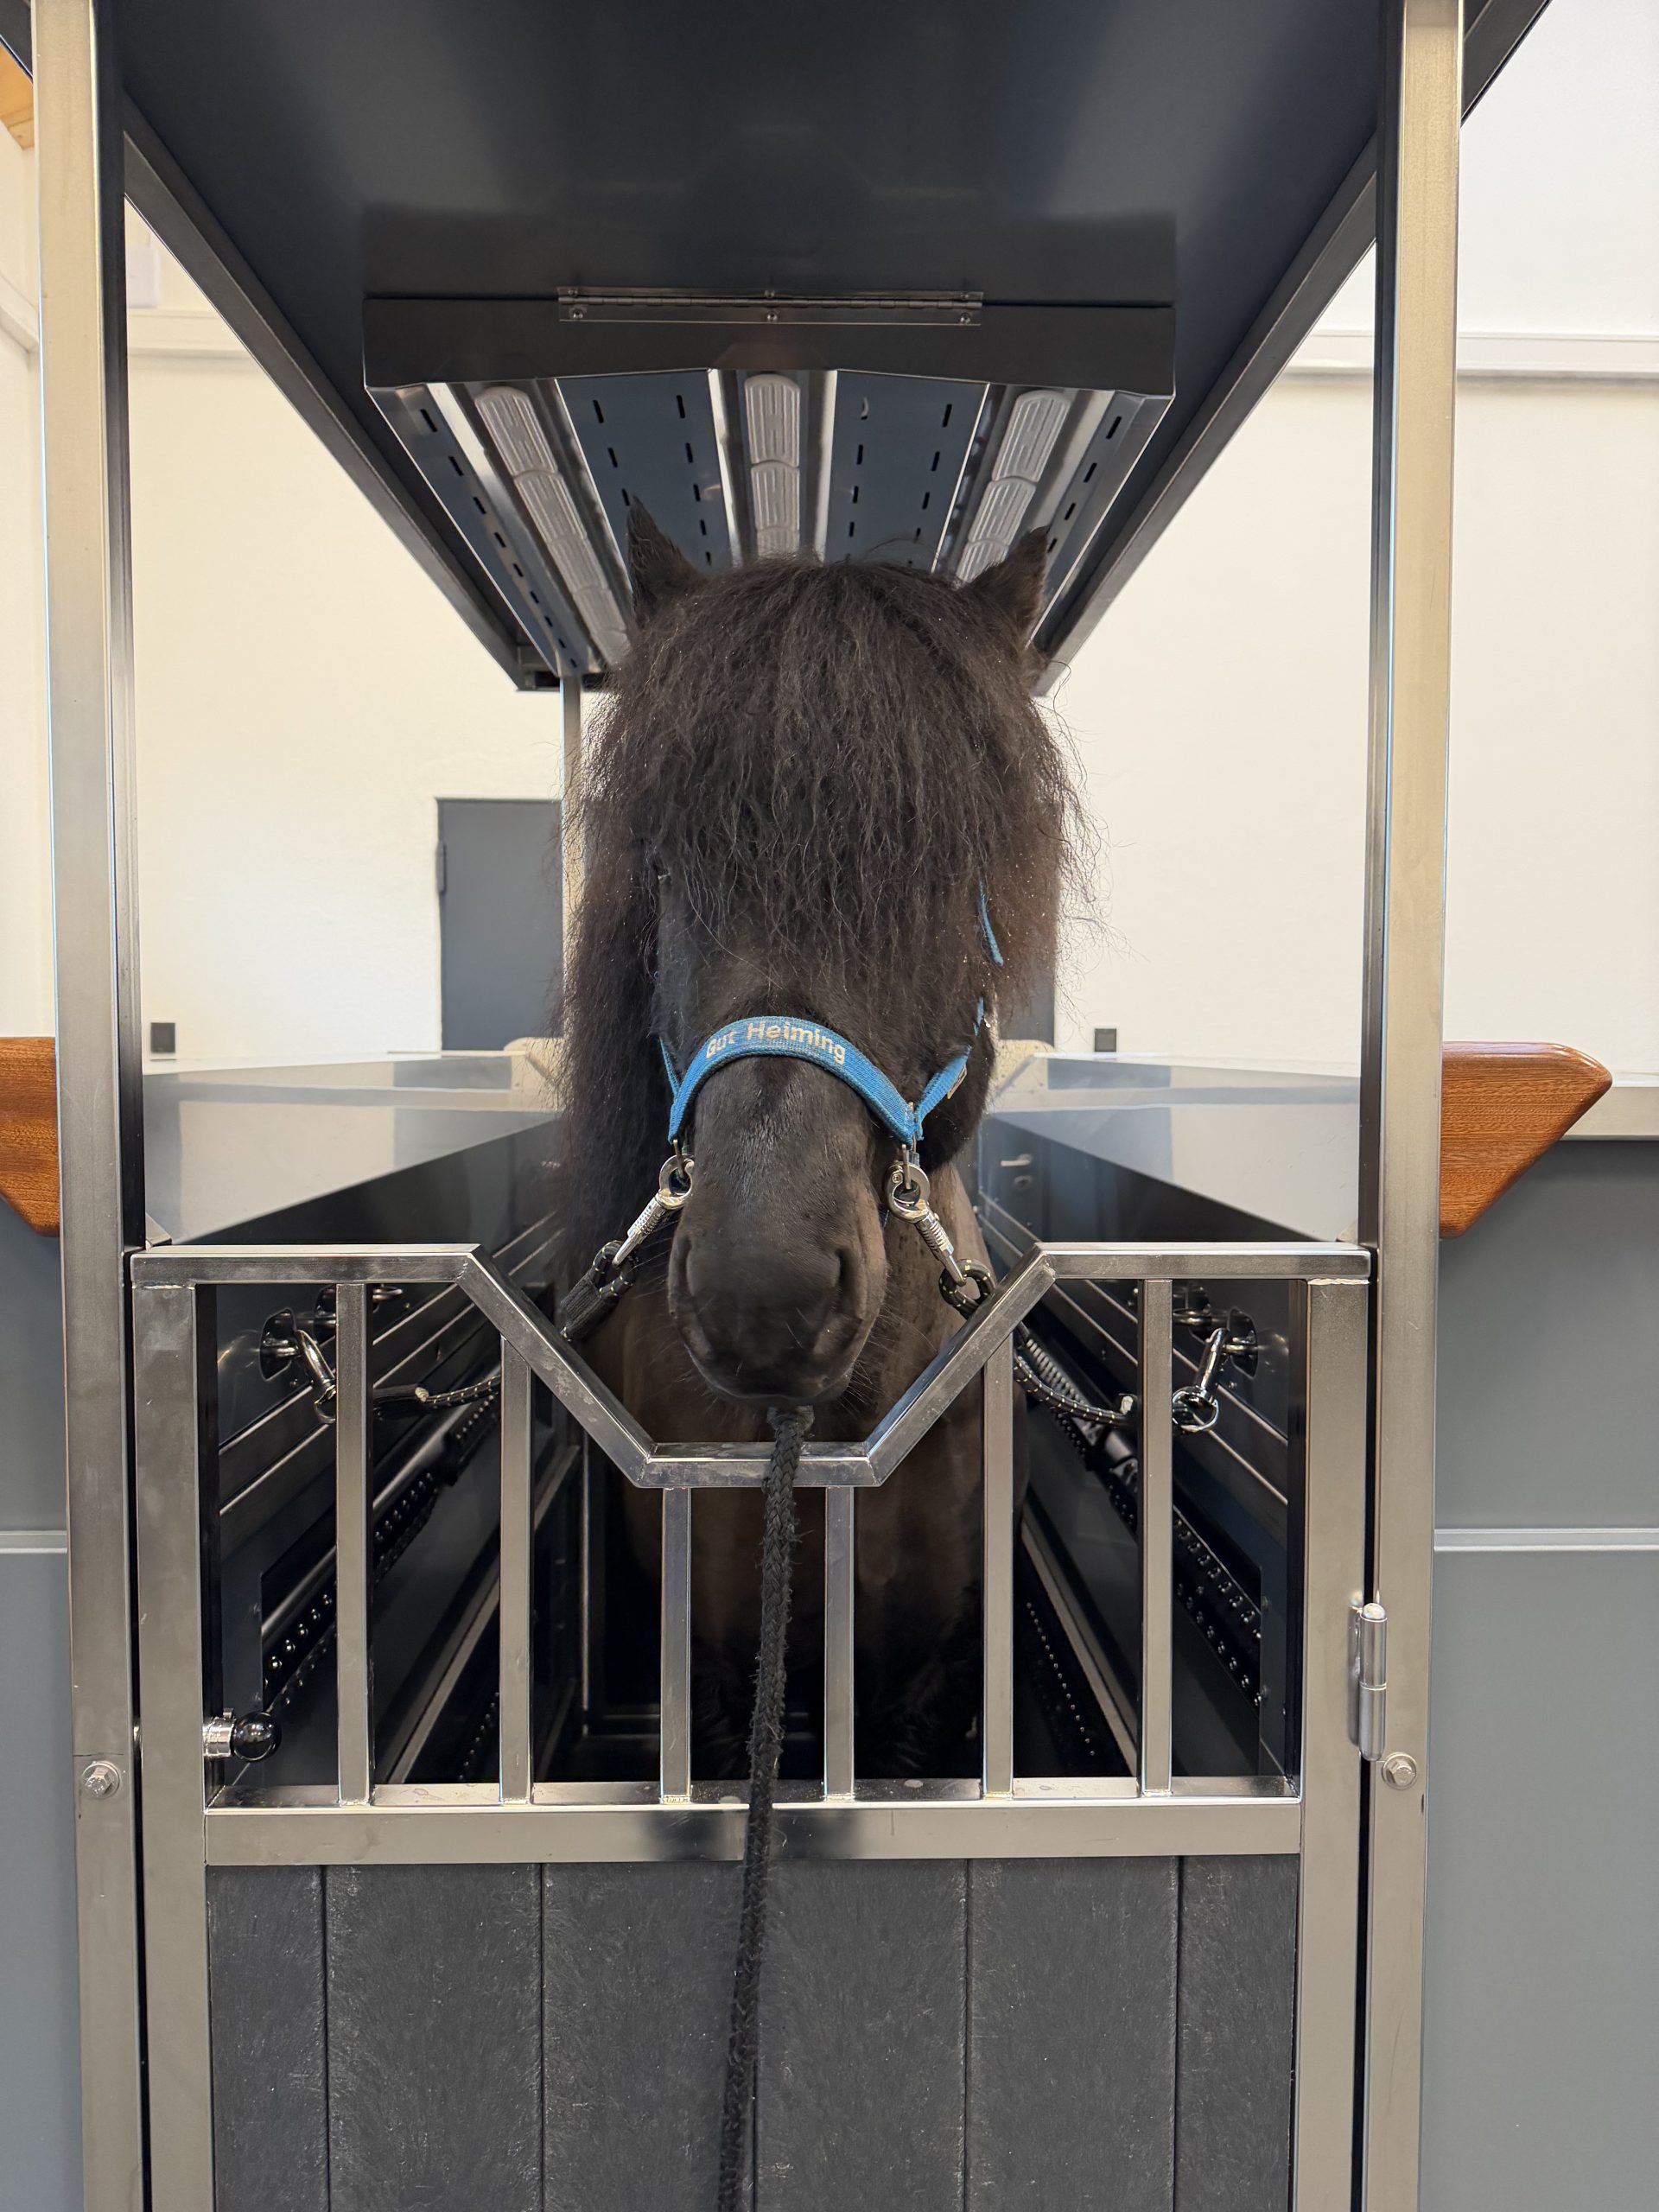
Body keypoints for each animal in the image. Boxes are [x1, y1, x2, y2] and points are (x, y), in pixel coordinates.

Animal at [556, 508, 1075, 1776]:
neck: (821, 1438)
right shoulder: (717, 1676)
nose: (766, 1295)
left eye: (954, 868)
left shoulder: (913, 1692)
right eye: (666, 865)